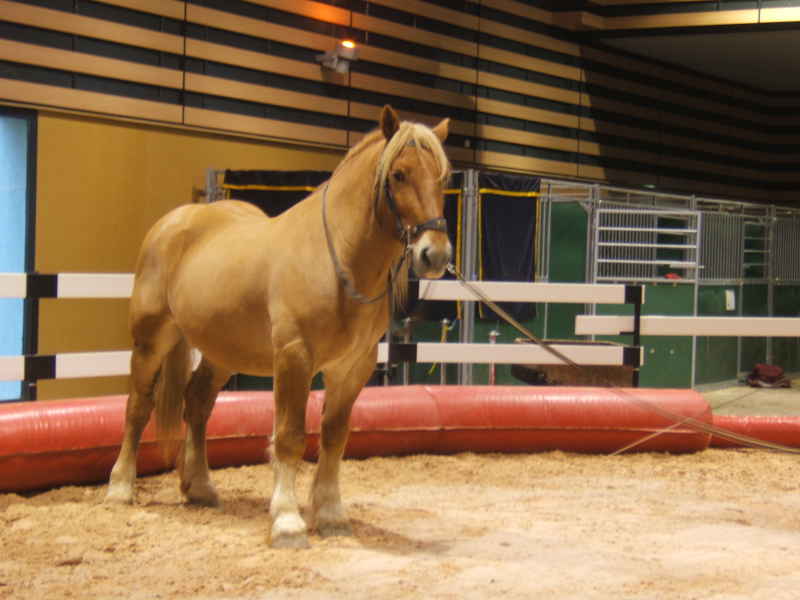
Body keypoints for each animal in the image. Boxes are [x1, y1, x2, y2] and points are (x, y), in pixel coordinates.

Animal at [105, 105, 452, 548]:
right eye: (399, 174)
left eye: (442, 178)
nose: (434, 255)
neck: (337, 258)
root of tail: (175, 220)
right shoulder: (294, 357)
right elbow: (289, 437)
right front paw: (287, 521)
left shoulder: (352, 368)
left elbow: (334, 436)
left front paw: (332, 514)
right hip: (151, 340)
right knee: (138, 405)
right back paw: (120, 487)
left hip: (221, 351)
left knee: (196, 402)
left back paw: (199, 487)